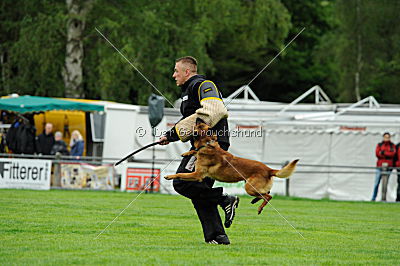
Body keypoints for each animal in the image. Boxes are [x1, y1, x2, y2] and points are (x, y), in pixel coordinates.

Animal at [164, 121, 298, 215]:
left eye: (201, 125)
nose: (198, 118)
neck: (207, 144)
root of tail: (269, 169)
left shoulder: (197, 175)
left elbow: (180, 174)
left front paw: (169, 176)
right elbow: (194, 151)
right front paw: (187, 152)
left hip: (249, 187)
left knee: (268, 196)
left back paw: (259, 207)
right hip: (252, 186)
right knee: (266, 194)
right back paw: (255, 201)